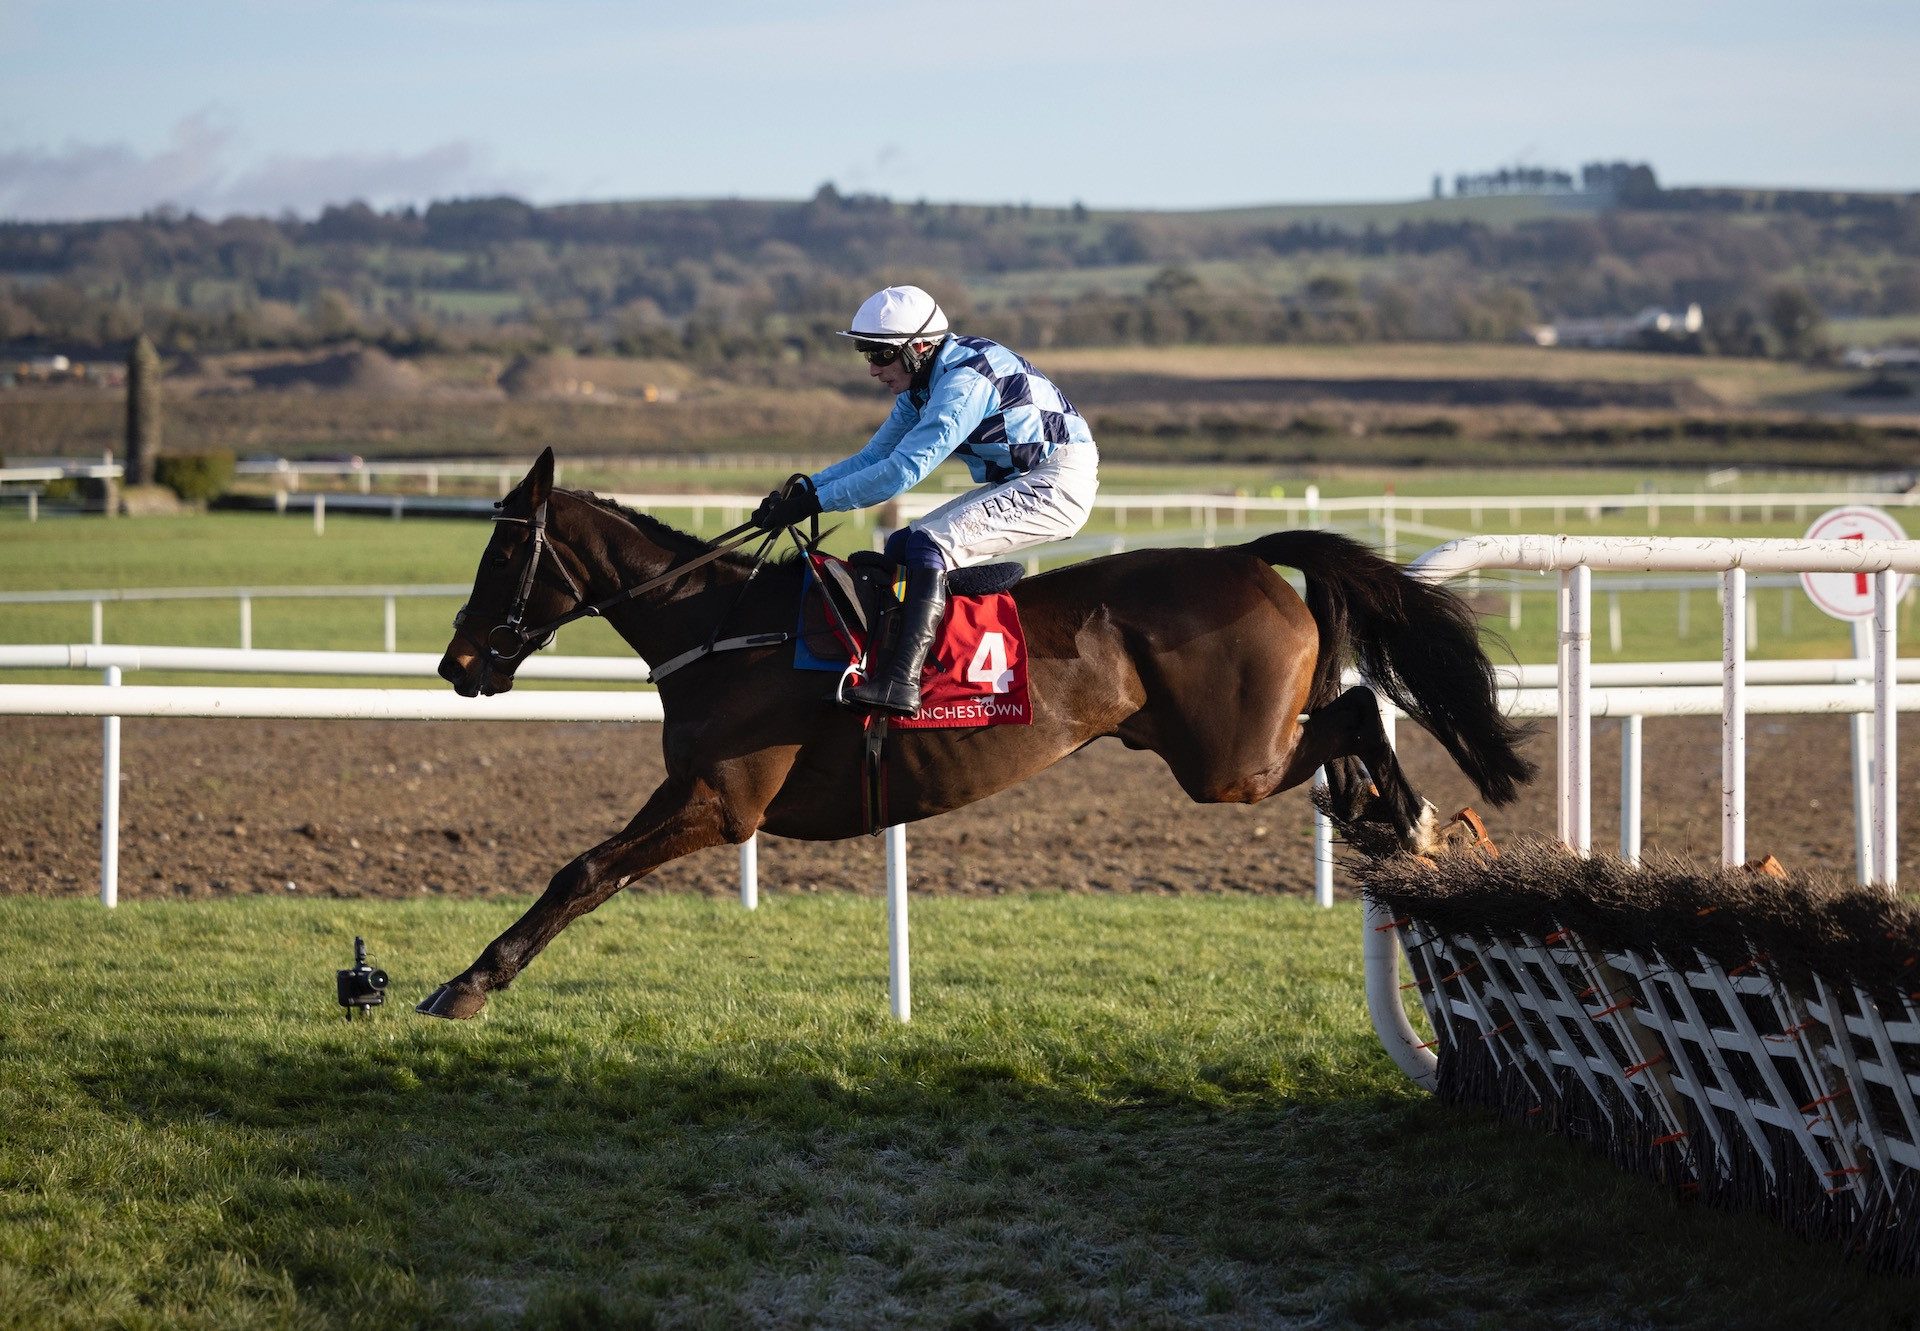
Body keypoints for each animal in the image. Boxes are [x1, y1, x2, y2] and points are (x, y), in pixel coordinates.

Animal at [420, 449, 1528, 1014]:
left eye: (501, 555)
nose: (458, 663)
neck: (724, 624)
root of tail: (1250, 553)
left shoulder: (718, 799)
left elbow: (580, 871)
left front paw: (467, 982)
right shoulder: (704, 797)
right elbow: (587, 872)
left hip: (1229, 760)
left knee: (1356, 711)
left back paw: (1411, 823)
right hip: (1227, 752)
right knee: (1347, 724)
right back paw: (1390, 821)